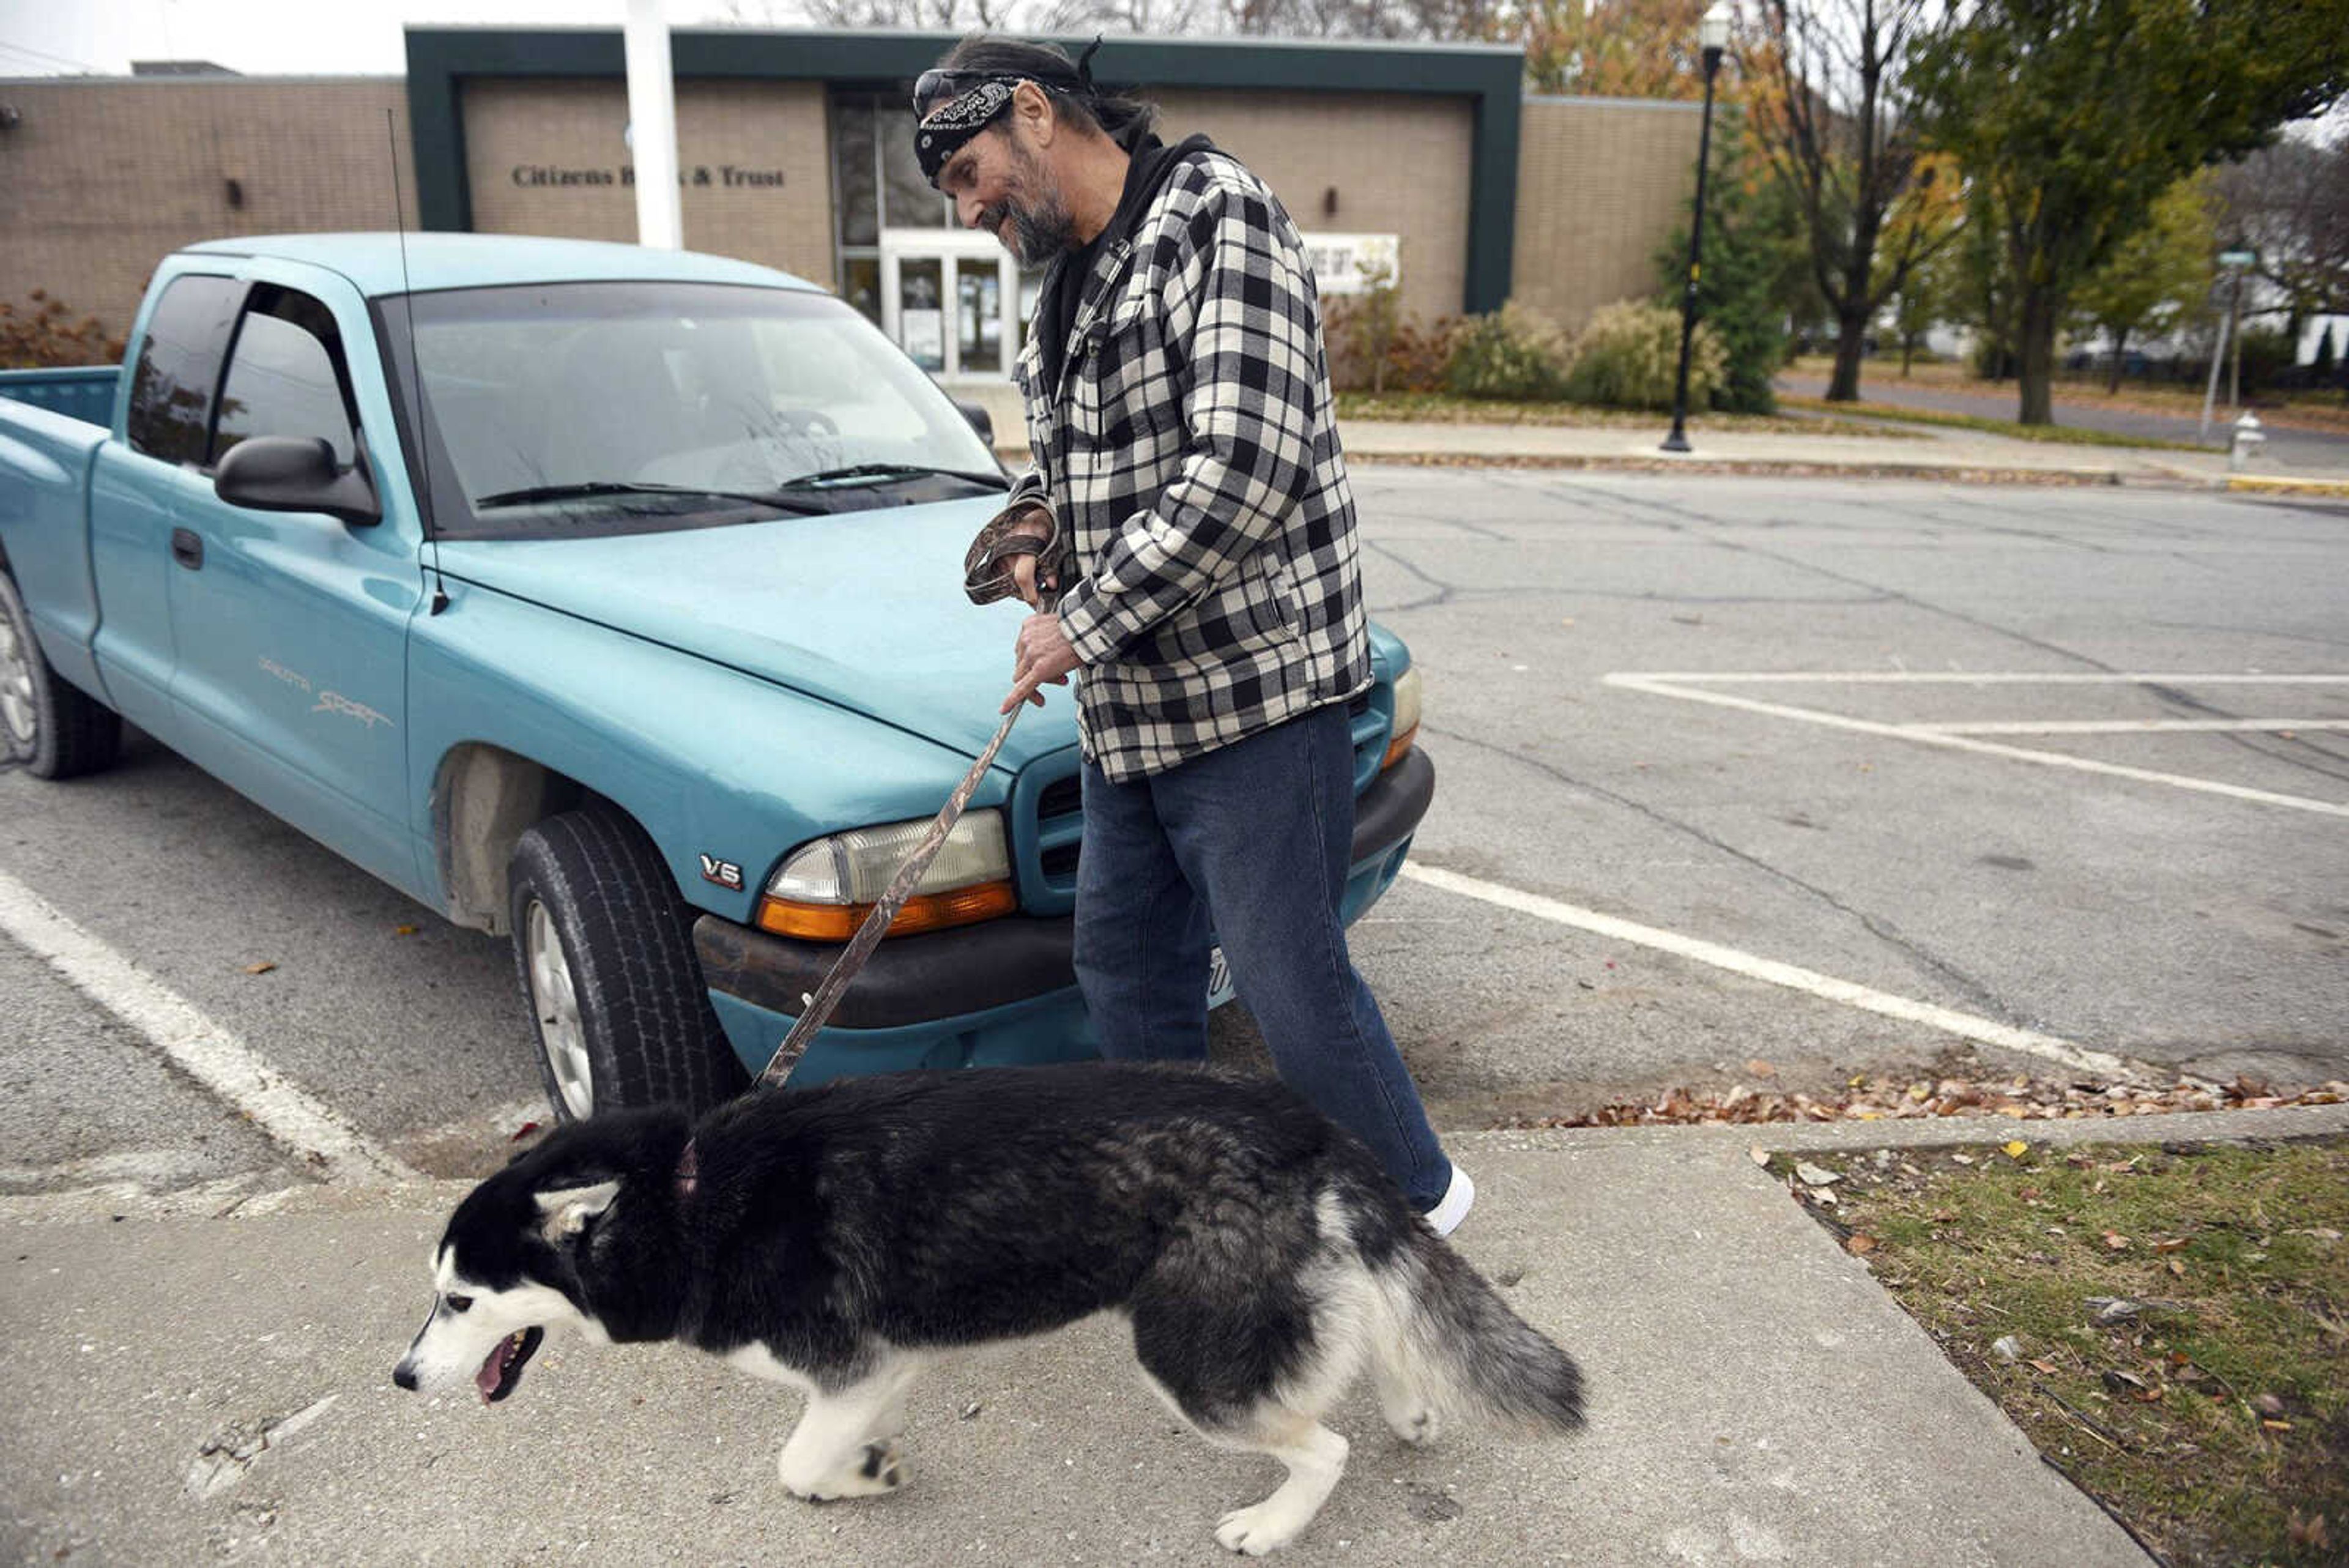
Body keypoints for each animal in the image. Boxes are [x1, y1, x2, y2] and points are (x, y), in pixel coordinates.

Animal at [395, 1062, 1587, 1551]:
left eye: (458, 1298)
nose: (400, 1376)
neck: (683, 1197)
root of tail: (1301, 1119)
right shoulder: (880, 1369)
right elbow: (823, 1448)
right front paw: (865, 1470)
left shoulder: (857, 1362)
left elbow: (794, 1460)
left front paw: (852, 1476)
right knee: (1366, 1333)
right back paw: (1410, 1405)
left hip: (1187, 1356)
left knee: (1320, 1444)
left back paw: (1275, 1522)